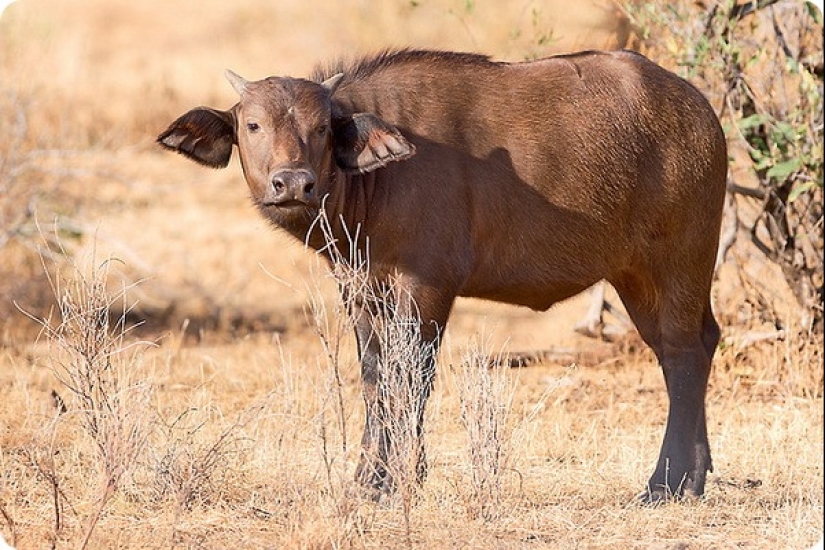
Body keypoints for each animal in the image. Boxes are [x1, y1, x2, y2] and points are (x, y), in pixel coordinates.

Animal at [161, 48, 728, 504]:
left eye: (321, 127)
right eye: (252, 125)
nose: (293, 183)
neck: (377, 181)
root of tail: (700, 112)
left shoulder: (427, 286)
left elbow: (411, 376)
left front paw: (399, 481)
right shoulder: (361, 290)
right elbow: (375, 378)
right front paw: (368, 480)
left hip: (679, 263)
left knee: (682, 354)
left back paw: (666, 483)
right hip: (635, 276)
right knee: (692, 346)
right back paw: (696, 475)